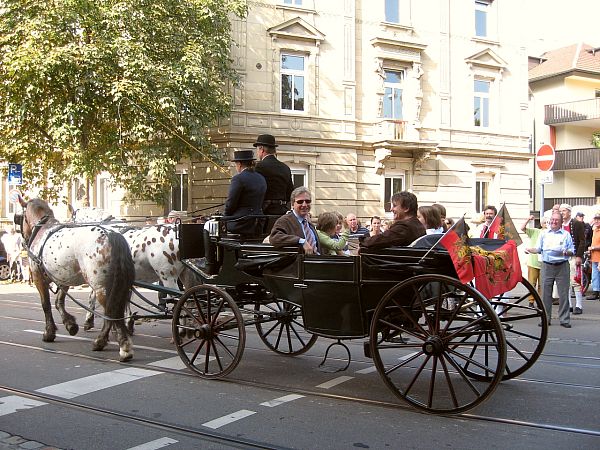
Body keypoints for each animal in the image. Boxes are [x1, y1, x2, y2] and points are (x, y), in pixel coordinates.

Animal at [17, 197, 136, 362]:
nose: (24, 239)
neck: (43, 230)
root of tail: (111, 235)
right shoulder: (64, 278)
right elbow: (58, 302)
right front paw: (70, 325)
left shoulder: (37, 276)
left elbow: (46, 305)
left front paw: (49, 333)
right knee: (113, 312)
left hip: (102, 287)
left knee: (111, 313)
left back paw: (119, 346)